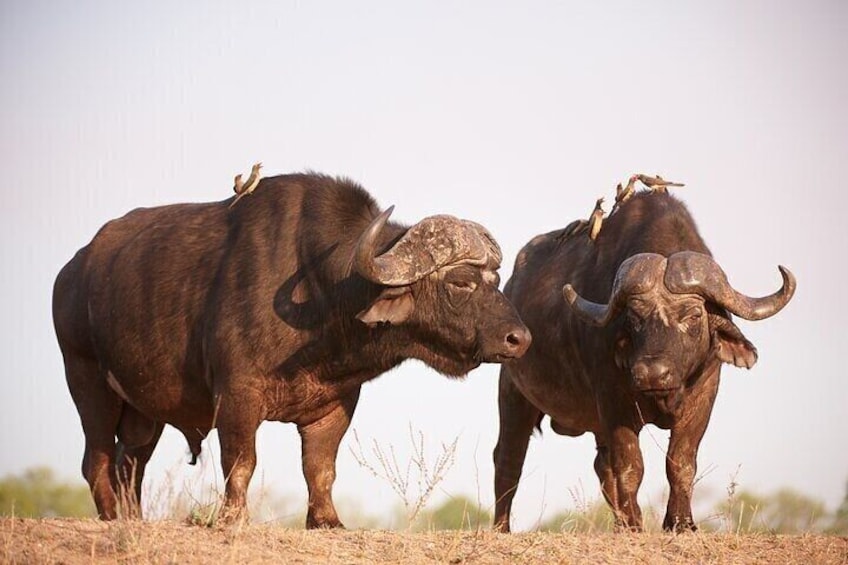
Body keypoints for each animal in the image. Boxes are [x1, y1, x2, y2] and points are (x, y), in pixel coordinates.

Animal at [53, 174, 528, 528]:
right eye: (462, 281)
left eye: (496, 279)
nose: (519, 339)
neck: (322, 292)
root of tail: (72, 271)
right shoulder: (237, 396)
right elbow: (240, 461)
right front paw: (234, 518)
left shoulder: (336, 405)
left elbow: (320, 468)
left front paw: (328, 520)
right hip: (87, 381)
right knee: (96, 461)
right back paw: (111, 518)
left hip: (142, 410)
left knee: (128, 462)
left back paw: (133, 520)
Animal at [494, 187, 800, 532]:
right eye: (634, 317)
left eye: (693, 315)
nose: (652, 372)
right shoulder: (615, 402)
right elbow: (630, 466)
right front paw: (635, 523)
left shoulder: (703, 397)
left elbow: (680, 461)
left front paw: (680, 523)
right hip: (513, 393)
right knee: (509, 459)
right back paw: (502, 527)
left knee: (601, 466)